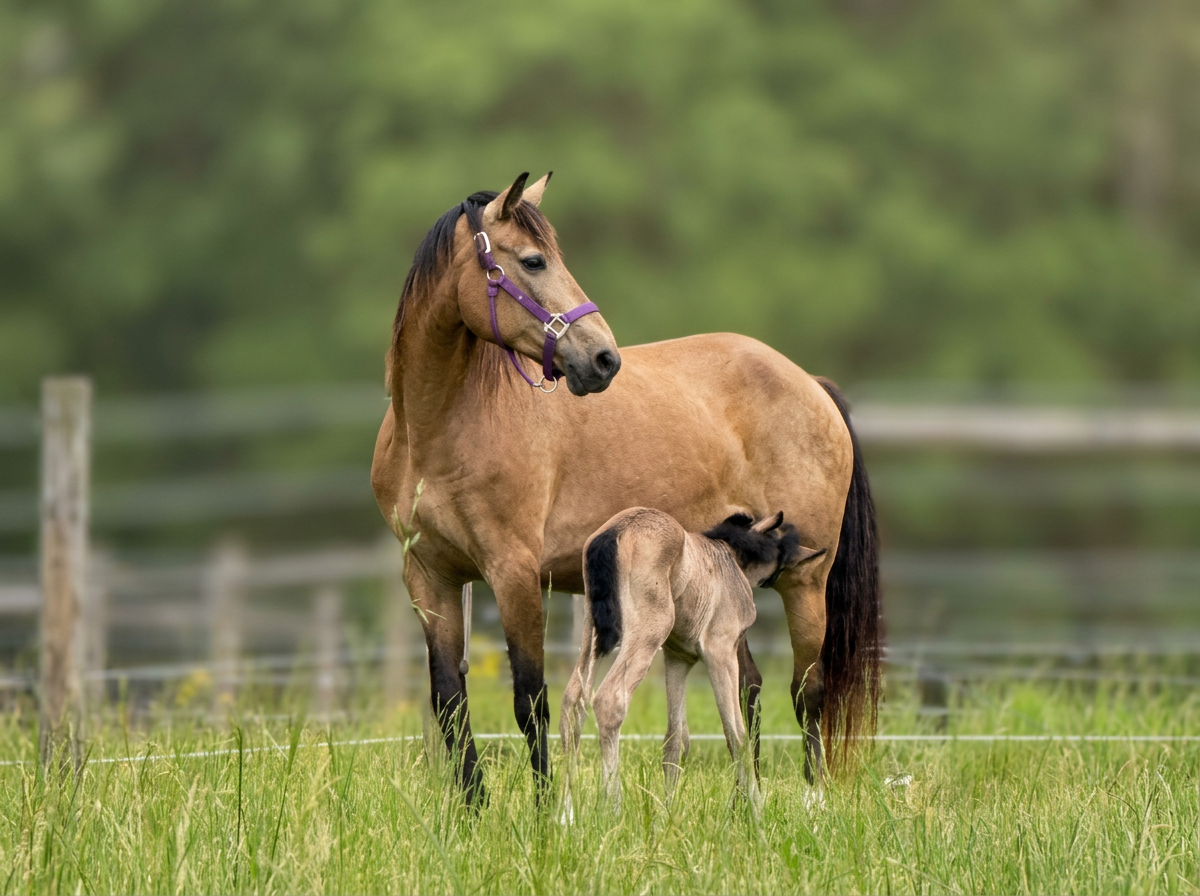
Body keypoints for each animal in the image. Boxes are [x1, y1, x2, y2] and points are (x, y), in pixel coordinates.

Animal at [560, 508, 823, 812]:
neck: (730, 557)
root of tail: (613, 533)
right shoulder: (720, 650)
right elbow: (738, 736)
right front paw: (757, 811)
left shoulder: (677, 657)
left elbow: (676, 739)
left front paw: (668, 813)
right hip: (646, 634)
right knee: (608, 700)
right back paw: (612, 809)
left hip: (593, 634)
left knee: (573, 702)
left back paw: (565, 812)